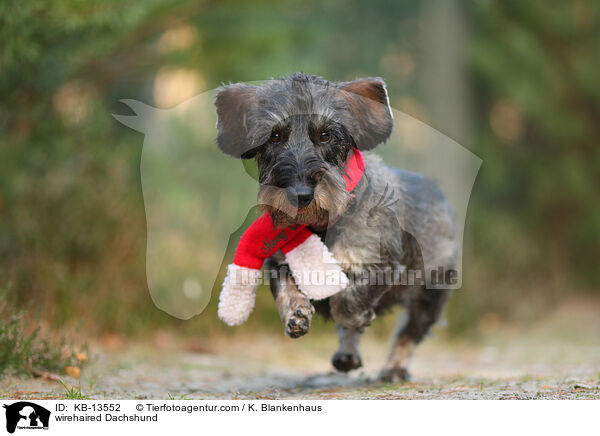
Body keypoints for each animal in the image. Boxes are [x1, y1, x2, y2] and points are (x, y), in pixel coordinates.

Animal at [213, 73, 458, 380]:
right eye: (275, 136)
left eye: (326, 135)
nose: (300, 194)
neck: (321, 225)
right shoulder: (278, 261)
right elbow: (286, 289)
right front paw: (296, 313)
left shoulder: (380, 265)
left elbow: (347, 303)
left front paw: (358, 316)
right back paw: (347, 355)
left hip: (429, 294)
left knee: (408, 333)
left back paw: (394, 368)